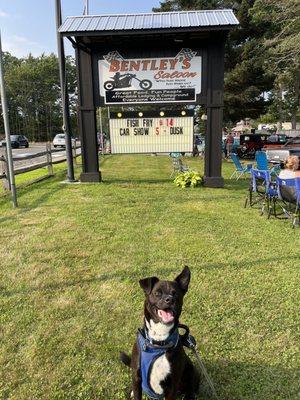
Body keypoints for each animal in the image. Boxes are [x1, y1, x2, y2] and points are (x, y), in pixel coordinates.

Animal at [119, 266, 199, 400]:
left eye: (176, 293)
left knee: (191, 387)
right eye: (157, 293)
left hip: (191, 369)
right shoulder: (136, 377)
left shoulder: (172, 386)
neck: (158, 342)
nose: (170, 299)